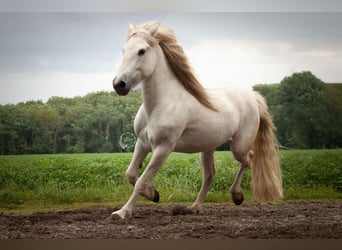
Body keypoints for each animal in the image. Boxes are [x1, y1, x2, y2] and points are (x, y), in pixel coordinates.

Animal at [112, 20, 284, 219]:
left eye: (141, 51)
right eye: (124, 50)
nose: (119, 84)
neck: (159, 105)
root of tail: (251, 96)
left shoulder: (163, 148)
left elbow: (140, 181)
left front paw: (122, 212)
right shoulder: (143, 143)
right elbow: (131, 174)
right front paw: (153, 194)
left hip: (238, 146)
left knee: (249, 158)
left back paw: (237, 195)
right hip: (208, 147)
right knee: (210, 174)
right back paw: (194, 207)